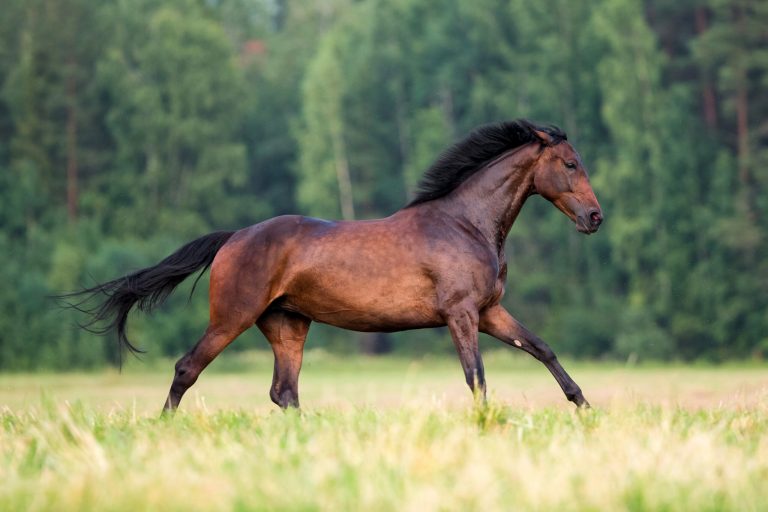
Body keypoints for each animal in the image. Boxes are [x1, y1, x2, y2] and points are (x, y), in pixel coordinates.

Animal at [64, 119, 603, 413]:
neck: (465, 223)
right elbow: (477, 377)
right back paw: (164, 425)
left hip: (287, 325)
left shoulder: (490, 312)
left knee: (284, 391)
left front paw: (585, 407)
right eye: (570, 164)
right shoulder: (462, 314)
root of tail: (233, 238)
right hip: (232, 318)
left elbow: (542, 349)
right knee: (187, 369)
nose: (595, 218)